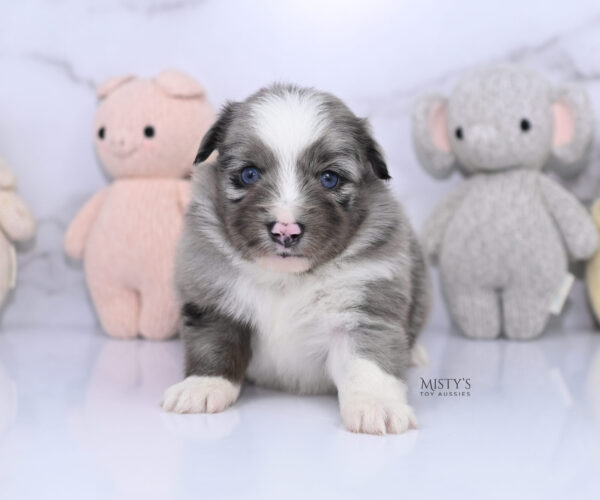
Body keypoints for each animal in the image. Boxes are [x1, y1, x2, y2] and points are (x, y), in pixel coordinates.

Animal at [162, 85, 428, 434]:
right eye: (249, 174)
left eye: (329, 178)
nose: (285, 230)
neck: (285, 279)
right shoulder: (212, 305)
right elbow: (213, 347)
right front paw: (201, 386)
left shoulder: (365, 312)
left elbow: (369, 363)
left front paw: (377, 405)